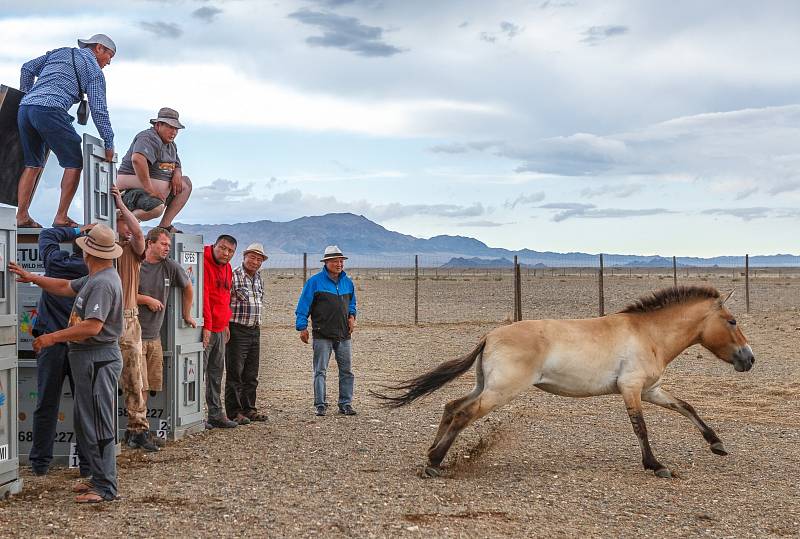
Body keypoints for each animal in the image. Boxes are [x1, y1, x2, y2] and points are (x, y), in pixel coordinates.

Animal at [372, 284, 752, 478]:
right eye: (732, 321)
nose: (749, 359)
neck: (648, 334)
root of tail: (490, 336)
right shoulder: (631, 389)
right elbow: (640, 428)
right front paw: (656, 466)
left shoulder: (651, 389)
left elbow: (687, 407)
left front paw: (717, 444)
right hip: (501, 391)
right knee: (464, 413)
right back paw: (435, 463)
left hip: (486, 386)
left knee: (452, 407)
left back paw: (432, 455)